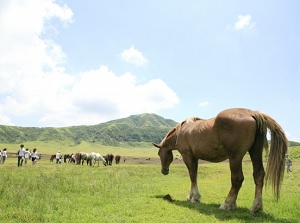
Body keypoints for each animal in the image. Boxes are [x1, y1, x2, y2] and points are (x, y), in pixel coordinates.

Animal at [155, 108, 288, 213]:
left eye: (159, 153)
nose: (164, 171)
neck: (182, 132)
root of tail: (252, 113)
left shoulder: (187, 155)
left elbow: (192, 175)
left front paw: (193, 198)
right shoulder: (195, 157)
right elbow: (195, 176)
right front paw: (194, 196)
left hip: (235, 157)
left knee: (237, 179)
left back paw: (227, 204)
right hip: (254, 152)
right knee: (258, 175)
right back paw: (256, 207)